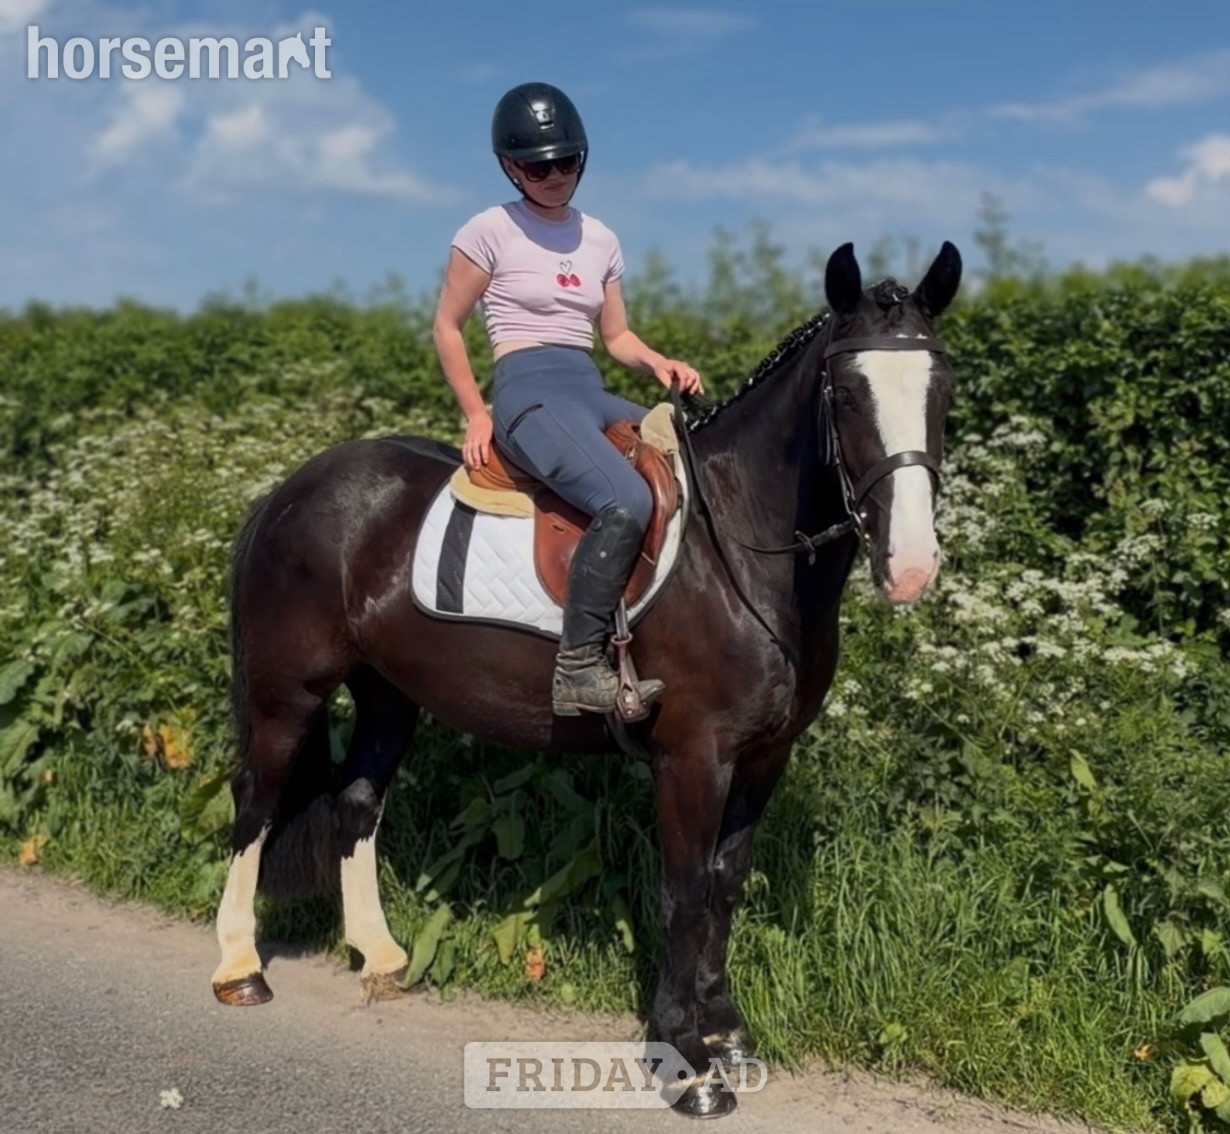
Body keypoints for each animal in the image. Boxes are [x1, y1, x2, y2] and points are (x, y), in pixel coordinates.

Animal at [210, 239, 963, 1119]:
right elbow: (684, 892)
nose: (911, 566)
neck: (735, 547)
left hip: (389, 693)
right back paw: (239, 970)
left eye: (941, 386)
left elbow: (726, 883)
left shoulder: (765, 755)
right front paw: (687, 1062)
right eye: (846, 392)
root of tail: (290, 490)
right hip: (286, 691)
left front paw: (727, 1033)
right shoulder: (692, 756)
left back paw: (382, 955)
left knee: (358, 800)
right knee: (257, 804)